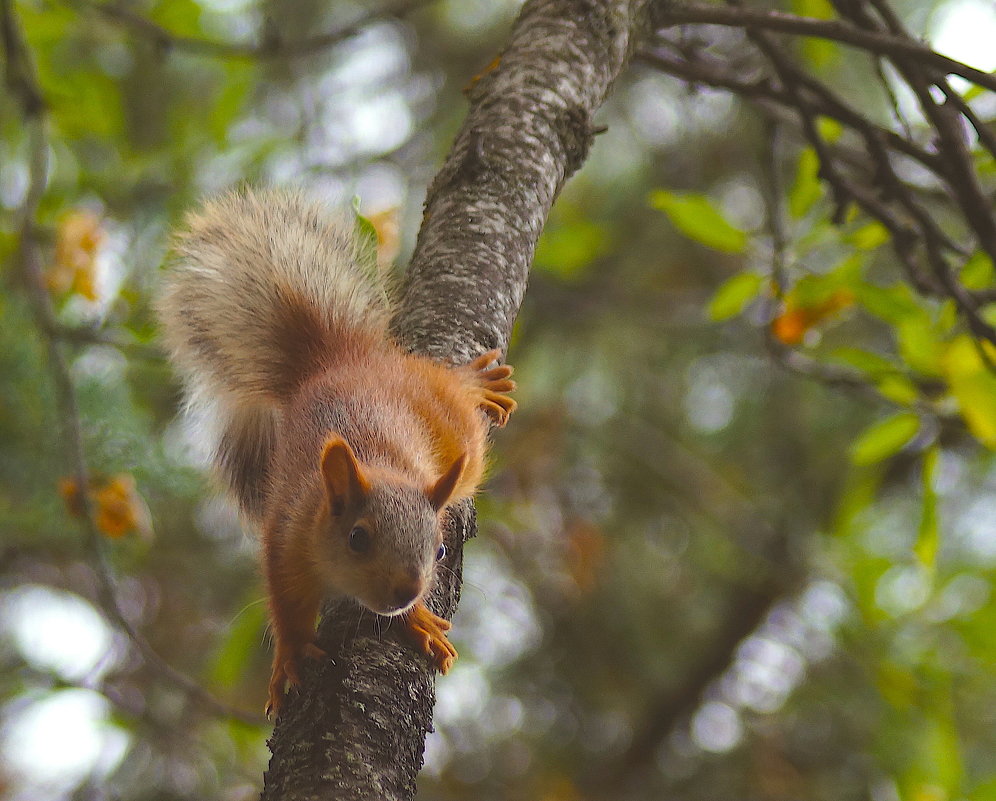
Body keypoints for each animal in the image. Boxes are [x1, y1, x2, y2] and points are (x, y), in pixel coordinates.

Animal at [158, 191, 512, 716]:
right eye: (357, 538)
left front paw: (416, 619)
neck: (378, 466)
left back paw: (471, 381)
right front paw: (289, 657)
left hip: (454, 430)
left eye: (441, 549)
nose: (405, 591)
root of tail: (337, 359)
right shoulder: (287, 538)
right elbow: (286, 604)